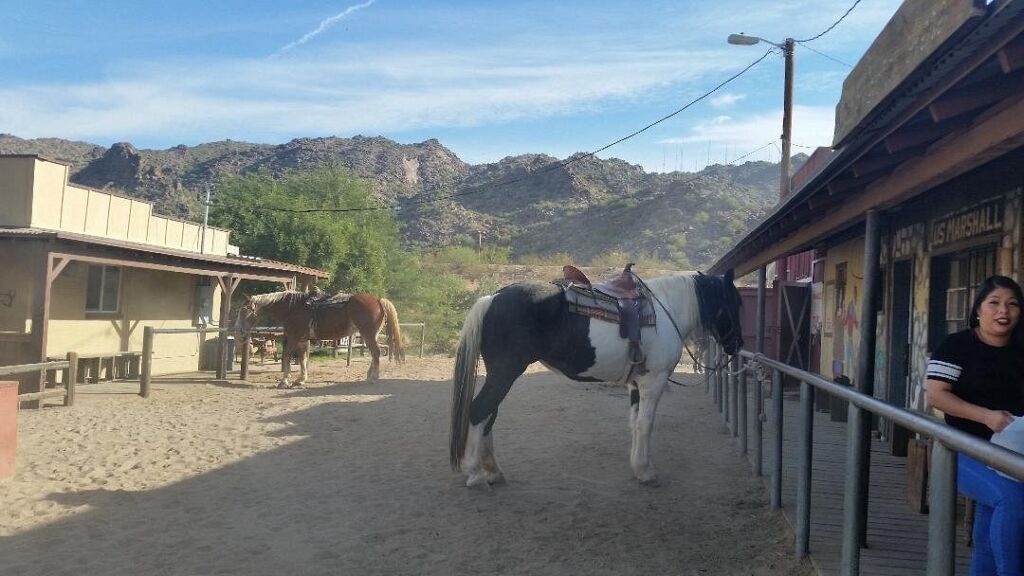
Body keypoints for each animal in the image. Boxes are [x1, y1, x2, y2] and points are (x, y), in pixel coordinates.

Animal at [236, 290, 404, 387]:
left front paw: (284, 381)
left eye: (244, 311)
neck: (292, 308)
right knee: (375, 354)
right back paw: (369, 376)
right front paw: (300, 380)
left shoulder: (294, 337)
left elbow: (287, 357)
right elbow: (302, 359)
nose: (238, 331)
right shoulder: (302, 340)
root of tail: (378, 300)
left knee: (376, 353)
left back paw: (373, 378)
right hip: (369, 335)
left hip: (368, 334)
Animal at [449, 269, 743, 487]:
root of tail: (492, 297)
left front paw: (637, 467)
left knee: (489, 416)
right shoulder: (654, 381)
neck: (666, 312)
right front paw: (647, 472)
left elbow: (634, 423)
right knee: (480, 411)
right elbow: (646, 424)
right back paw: (475, 474)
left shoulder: (635, 384)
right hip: (505, 371)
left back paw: (494, 471)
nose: (737, 345)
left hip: (500, 373)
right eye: (736, 303)